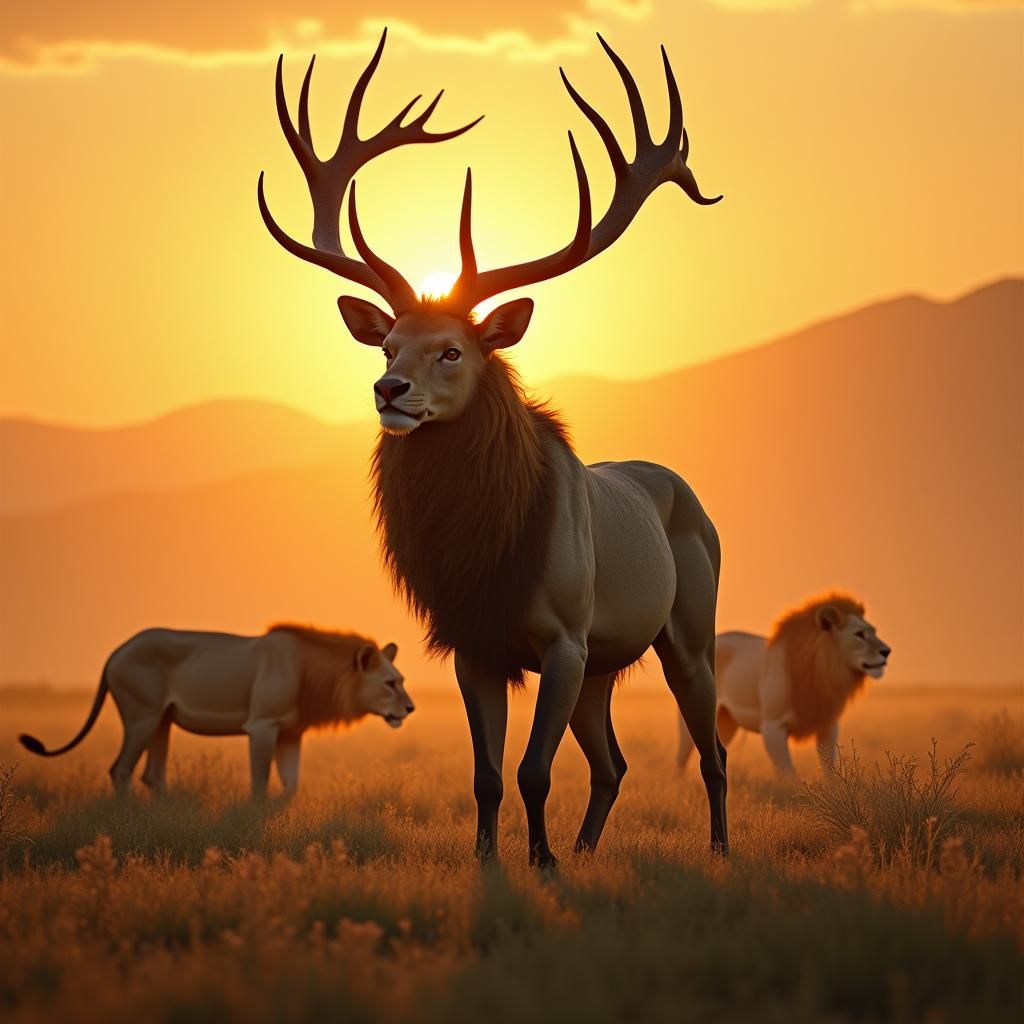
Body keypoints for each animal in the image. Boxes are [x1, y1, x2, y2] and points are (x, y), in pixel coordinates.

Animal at [18, 623, 414, 799]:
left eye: (401, 680)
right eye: (389, 684)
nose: (410, 708)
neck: (310, 671)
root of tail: (116, 652)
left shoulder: (291, 733)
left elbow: (291, 786)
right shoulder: (262, 726)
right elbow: (260, 782)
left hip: (161, 720)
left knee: (152, 775)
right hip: (142, 716)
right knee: (121, 769)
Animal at [258, 29, 728, 866]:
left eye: (452, 350)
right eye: (388, 345)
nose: (389, 392)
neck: (488, 556)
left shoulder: (564, 639)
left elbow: (534, 770)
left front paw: (540, 861)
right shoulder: (475, 645)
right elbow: (486, 775)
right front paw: (492, 859)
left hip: (689, 633)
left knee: (712, 752)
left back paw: (716, 849)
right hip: (606, 662)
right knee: (613, 762)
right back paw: (587, 850)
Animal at [677, 594, 891, 776]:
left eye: (874, 631)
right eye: (859, 634)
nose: (887, 651)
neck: (823, 671)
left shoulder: (827, 725)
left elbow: (829, 768)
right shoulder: (773, 726)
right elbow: (789, 773)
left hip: (726, 721)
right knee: (681, 756)